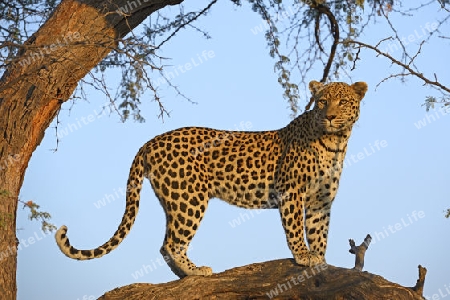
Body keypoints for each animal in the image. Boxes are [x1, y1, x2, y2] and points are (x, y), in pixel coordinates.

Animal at [55, 80, 366, 278]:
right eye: (322, 101)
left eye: (343, 102)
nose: (330, 116)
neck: (335, 142)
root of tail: (150, 141)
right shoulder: (292, 192)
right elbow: (295, 230)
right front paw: (303, 256)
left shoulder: (321, 201)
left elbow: (319, 232)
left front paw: (320, 259)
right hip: (189, 198)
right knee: (172, 243)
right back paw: (196, 271)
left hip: (174, 199)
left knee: (166, 244)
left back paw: (184, 276)